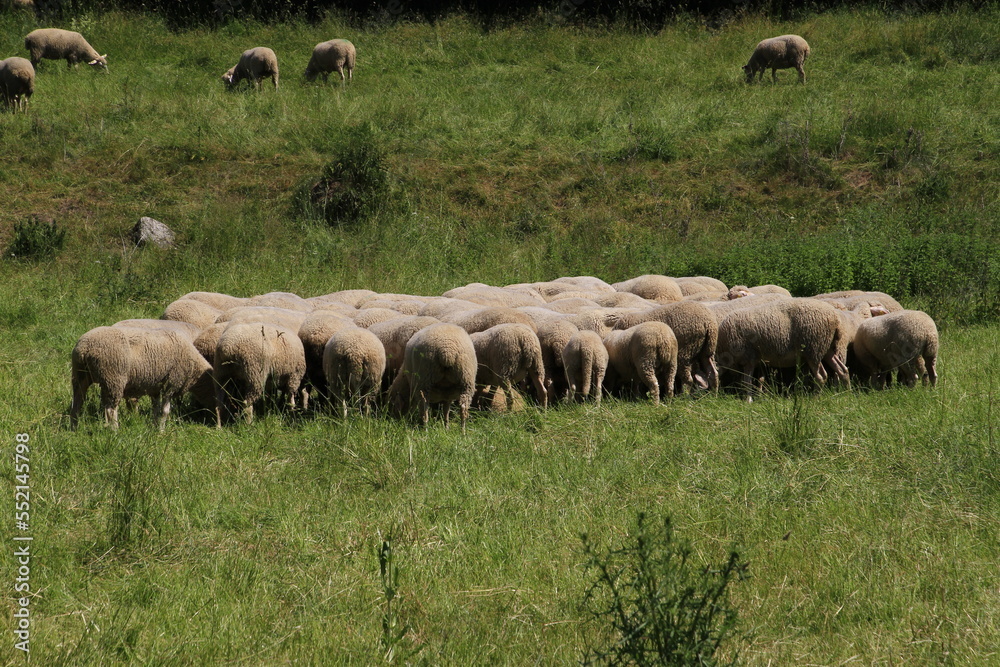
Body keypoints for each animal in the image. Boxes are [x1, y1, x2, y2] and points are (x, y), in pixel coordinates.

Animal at [70, 326, 213, 431]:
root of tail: (85, 347)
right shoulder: (172, 382)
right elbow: (165, 411)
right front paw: (161, 431)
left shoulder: (155, 387)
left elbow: (156, 408)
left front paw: (154, 426)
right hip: (114, 378)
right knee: (111, 410)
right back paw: (115, 431)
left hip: (80, 376)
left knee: (77, 404)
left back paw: (74, 429)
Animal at [715, 298, 848, 398]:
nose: (713, 397)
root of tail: (836, 319)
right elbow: (751, 380)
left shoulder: (749, 358)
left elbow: (747, 382)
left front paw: (748, 400)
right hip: (827, 348)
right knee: (842, 369)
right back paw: (847, 392)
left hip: (813, 349)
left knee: (821, 376)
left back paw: (816, 397)